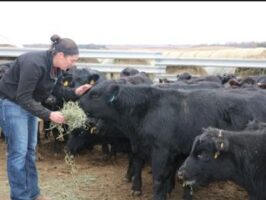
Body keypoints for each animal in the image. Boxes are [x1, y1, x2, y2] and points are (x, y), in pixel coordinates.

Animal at [78, 80, 266, 200]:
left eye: (95, 95)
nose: (78, 101)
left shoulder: (161, 150)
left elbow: (159, 178)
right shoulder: (144, 147)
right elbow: (145, 167)